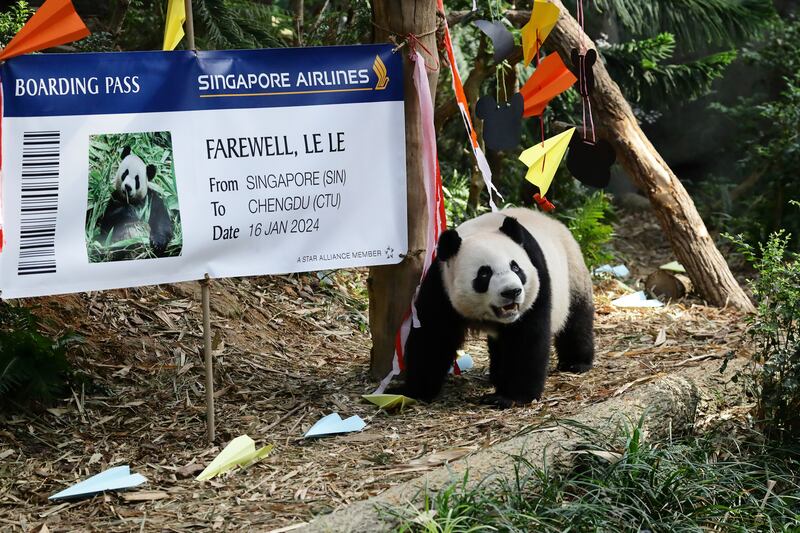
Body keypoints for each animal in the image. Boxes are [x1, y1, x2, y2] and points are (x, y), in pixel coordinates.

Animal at [390, 207, 595, 408]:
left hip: (572, 272)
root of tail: (552, 221)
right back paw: (496, 375)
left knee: (576, 319)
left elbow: (527, 339)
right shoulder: (441, 286)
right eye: (484, 274)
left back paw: (576, 363)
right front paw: (411, 391)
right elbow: (433, 338)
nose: (511, 292)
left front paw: (509, 397)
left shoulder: (538, 285)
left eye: (516, 268)